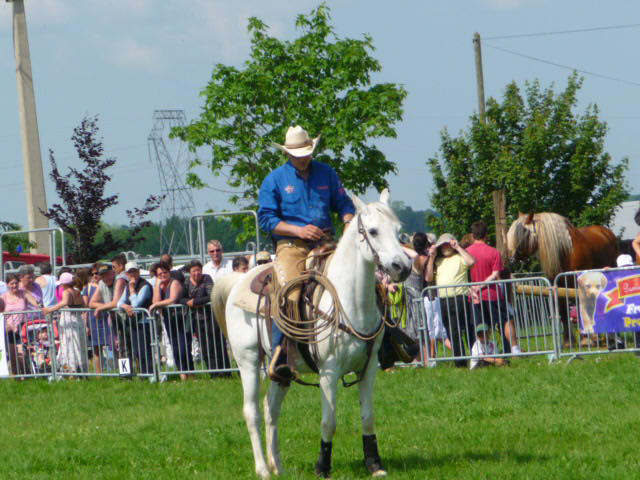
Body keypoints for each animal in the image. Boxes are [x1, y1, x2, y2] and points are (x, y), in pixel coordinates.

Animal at [220, 189, 410, 478]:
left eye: (399, 230)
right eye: (373, 231)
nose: (403, 267)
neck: (351, 302)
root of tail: (238, 280)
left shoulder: (369, 368)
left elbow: (368, 418)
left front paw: (374, 464)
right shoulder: (328, 372)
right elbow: (328, 421)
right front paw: (323, 466)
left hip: (281, 372)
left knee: (271, 409)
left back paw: (278, 466)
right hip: (248, 361)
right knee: (251, 411)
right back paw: (263, 468)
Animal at [508, 214, 616, 344]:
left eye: (524, 232)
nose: (512, 261)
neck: (566, 252)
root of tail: (605, 231)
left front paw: (586, 338)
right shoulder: (558, 286)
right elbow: (564, 311)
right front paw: (568, 341)